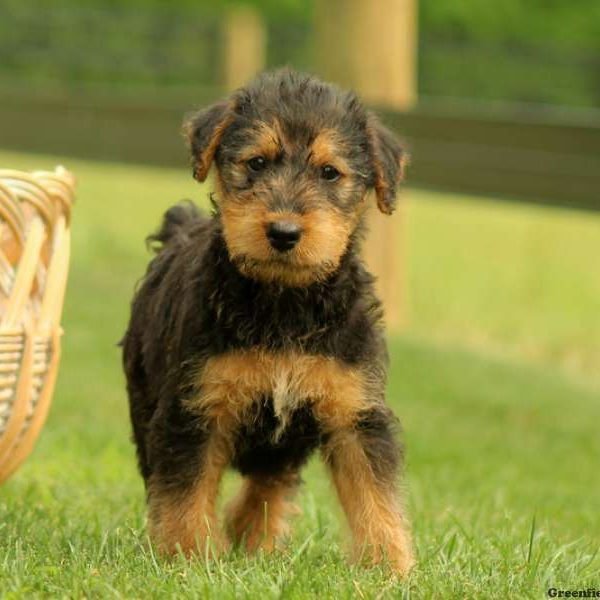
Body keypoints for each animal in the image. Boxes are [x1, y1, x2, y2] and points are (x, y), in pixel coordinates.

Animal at [120, 68, 412, 576]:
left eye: (329, 172)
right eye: (256, 163)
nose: (283, 233)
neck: (285, 306)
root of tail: (179, 228)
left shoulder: (355, 412)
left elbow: (376, 496)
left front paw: (390, 568)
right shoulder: (193, 409)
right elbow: (183, 493)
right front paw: (187, 558)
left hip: (284, 441)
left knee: (269, 484)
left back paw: (251, 536)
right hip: (145, 402)